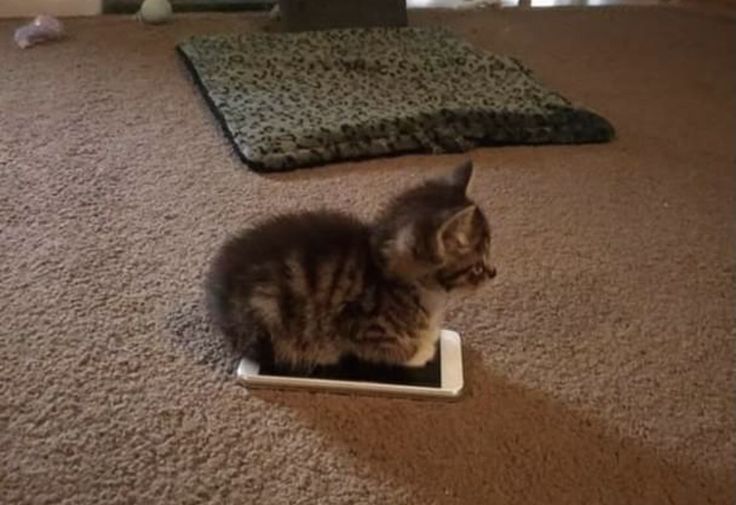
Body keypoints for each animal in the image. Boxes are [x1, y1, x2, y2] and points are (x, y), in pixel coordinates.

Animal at [204, 161, 498, 370]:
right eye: (477, 266)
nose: (494, 272)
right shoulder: (358, 324)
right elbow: (388, 347)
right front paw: (419, 352)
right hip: (269, 313)